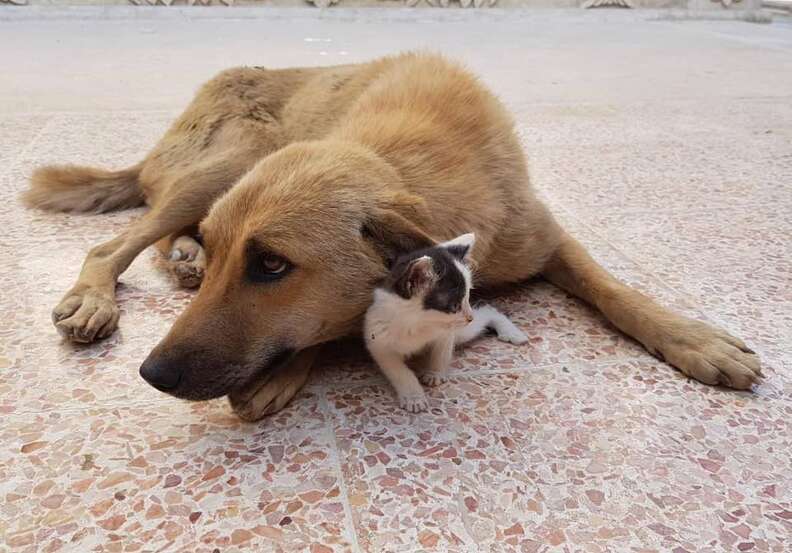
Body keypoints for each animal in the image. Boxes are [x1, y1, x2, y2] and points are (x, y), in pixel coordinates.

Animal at [364, 232, 524, 410]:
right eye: (454, 305)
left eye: (467, 298)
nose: (469, 318)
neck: (417, 323)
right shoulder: (379, 343)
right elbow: (399, 371)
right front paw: (413, 396)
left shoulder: (446, 333)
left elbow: (441, 353)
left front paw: (434, 374)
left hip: (463, 331)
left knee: (488, 310)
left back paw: (512, 333)